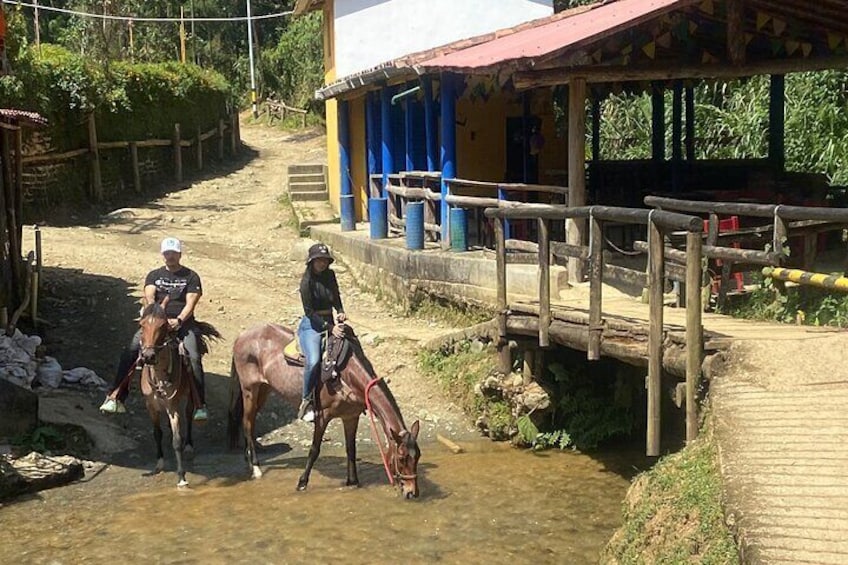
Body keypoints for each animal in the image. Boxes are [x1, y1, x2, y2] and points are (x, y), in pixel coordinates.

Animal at [137, 298, 220, 486]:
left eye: (163, 325)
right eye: (141, 324)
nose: (148, 356)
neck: (159, 378)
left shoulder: (173, 406)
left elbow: (177, 440)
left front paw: (182, 477)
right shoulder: (150, 406)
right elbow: (157, 433)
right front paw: (159, 463)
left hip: (189, 395)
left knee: (188, 417)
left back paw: (188, 446)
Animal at [227, 322, 422, 498]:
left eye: (418, 456)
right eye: (401, 458)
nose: (412, 493)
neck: (346, 373)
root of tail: (242, 336)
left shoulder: (351, 417)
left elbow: (351, 449)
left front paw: (353, 482)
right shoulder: (322, 416)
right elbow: (314, 450)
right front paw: (302, 483)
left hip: (264, 389)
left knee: (249, 423)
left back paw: (248, 458)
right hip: (249, 389)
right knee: (247, 422)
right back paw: (256, 467)